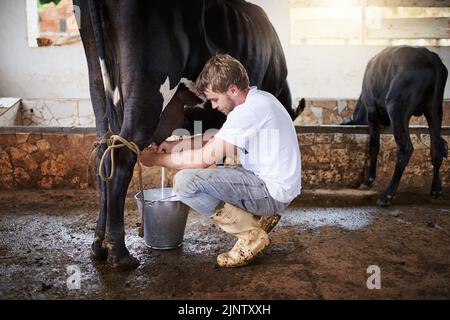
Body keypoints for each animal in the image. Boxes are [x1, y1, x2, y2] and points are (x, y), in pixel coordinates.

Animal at [342, 46, 448, 205]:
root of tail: (430, 57)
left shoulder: (371, 109)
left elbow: (374, 146)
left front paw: (368, 180)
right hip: (434, 108)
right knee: (436, 147)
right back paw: (436, 189)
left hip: (396, 106)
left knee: (405, 148)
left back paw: (387, 195)